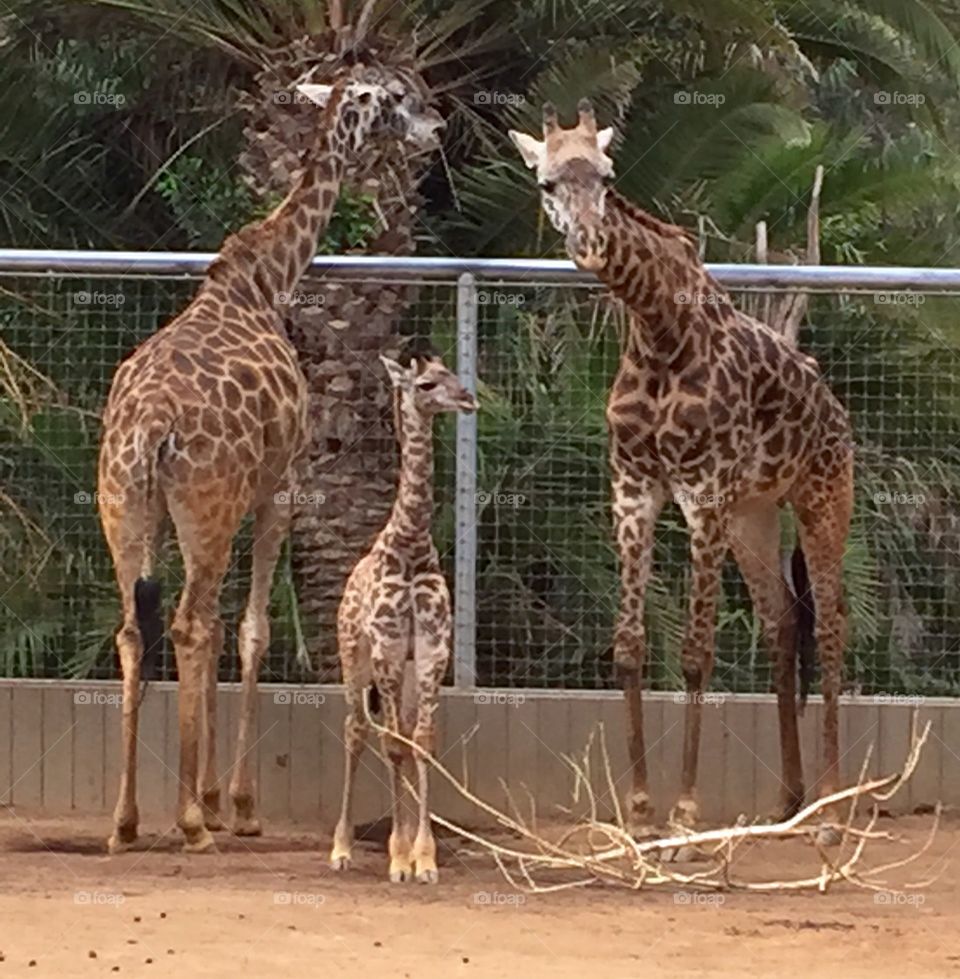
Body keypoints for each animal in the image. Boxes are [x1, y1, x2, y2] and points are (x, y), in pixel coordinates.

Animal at [96, 68, 442, 854]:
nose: (435, 128)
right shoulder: (279, 485)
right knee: (190, 623)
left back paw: (127, 821)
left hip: (126, 505)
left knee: (138, 628)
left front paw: (211, 792)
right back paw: (193, 825)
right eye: (395, 99)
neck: (263, 279)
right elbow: (252, 629)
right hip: (206, 504)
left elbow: (223, 625)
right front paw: (237, 804)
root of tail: (149, 429)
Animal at [329, 339, 477, 883]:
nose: (468, 398)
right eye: (427, 383)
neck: (410, 544)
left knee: (404, 732)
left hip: (408, 674)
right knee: (355, 732)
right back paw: (342, 850)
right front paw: (397, 857)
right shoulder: (389, 647)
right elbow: (392, 744)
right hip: (354, 658)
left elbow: (422, 743)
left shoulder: (432, 648)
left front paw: (424, 858)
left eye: (453, 372)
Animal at [509, 101, 854, 834]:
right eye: (548, 182)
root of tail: (836, 408)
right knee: (783, 618)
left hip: (822, 495)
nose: (589, 241)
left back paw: (832, 806)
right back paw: (786, 799)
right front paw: (640, 806)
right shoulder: (634, 488)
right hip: (755, 513)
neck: (657, 327)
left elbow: (696, 652)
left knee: (833, 620)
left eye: (608, 176)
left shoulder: (702, 492)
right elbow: (628, 644)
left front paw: (686, 811)